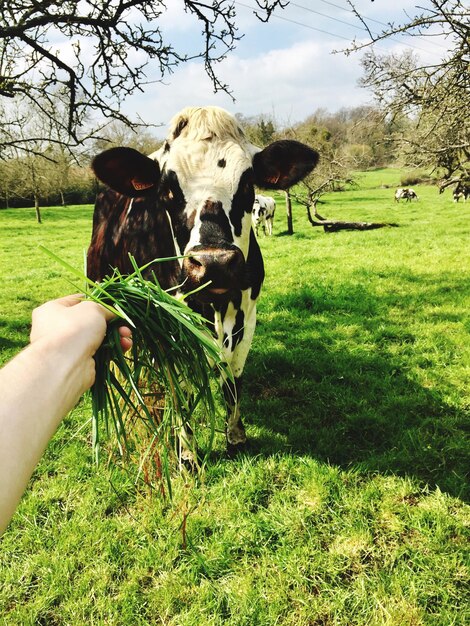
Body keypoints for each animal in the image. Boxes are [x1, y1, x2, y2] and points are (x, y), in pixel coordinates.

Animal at [87, 103, 320, 454]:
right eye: (167, 189)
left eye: (248, 183)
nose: (214, 263)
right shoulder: (169, 324)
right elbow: (182, 386)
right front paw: (187, 454)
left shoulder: (247, 315)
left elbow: (233, 380)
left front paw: (236, 437)